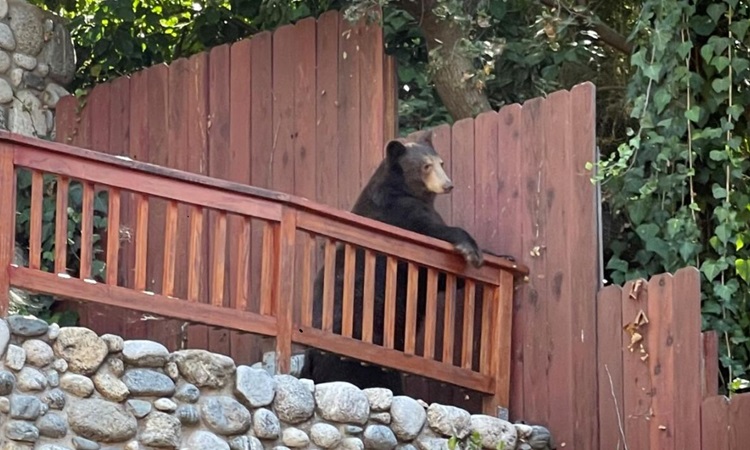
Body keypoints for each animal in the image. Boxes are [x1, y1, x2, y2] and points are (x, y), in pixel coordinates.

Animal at [300, 130, 494, 394]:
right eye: (425, 166)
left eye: (441, 162)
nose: (448, 184)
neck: (403, 188)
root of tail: (310, 357)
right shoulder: (399, 216)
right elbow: (433, 235)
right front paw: (471, 250)